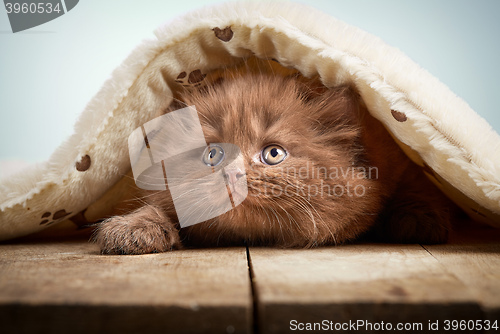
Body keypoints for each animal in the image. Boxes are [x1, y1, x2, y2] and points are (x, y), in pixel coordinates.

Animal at [94, 73, 454, 254]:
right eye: (213, 155)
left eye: (273, 154)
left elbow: (417, 186)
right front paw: (134, 228)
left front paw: (418, 219)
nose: (232, 174)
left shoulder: (399, 159)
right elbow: (157, 206)